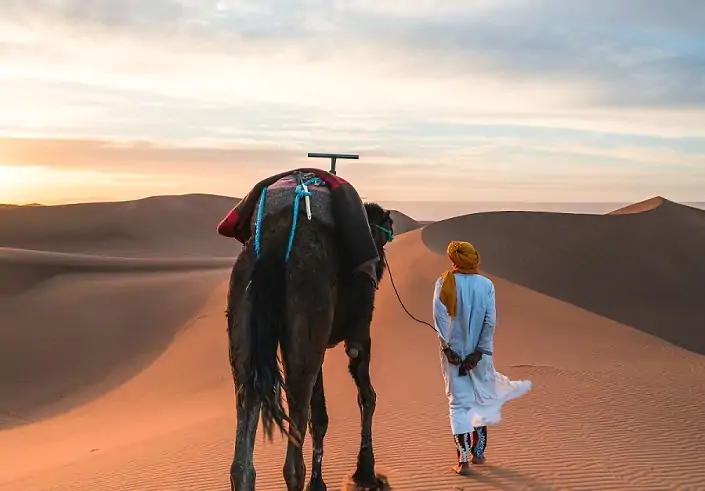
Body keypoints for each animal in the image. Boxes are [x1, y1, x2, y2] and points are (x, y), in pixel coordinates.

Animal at [224, 170, 394, 491]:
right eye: (383, 235)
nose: (379, 269)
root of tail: (276, 242)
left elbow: (321, 417)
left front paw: (322, 482)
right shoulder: (359, 336)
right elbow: (367, 396)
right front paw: (365, 471)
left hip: (244, 320)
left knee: (242, 459)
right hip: (307, 314)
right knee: (292, 465)